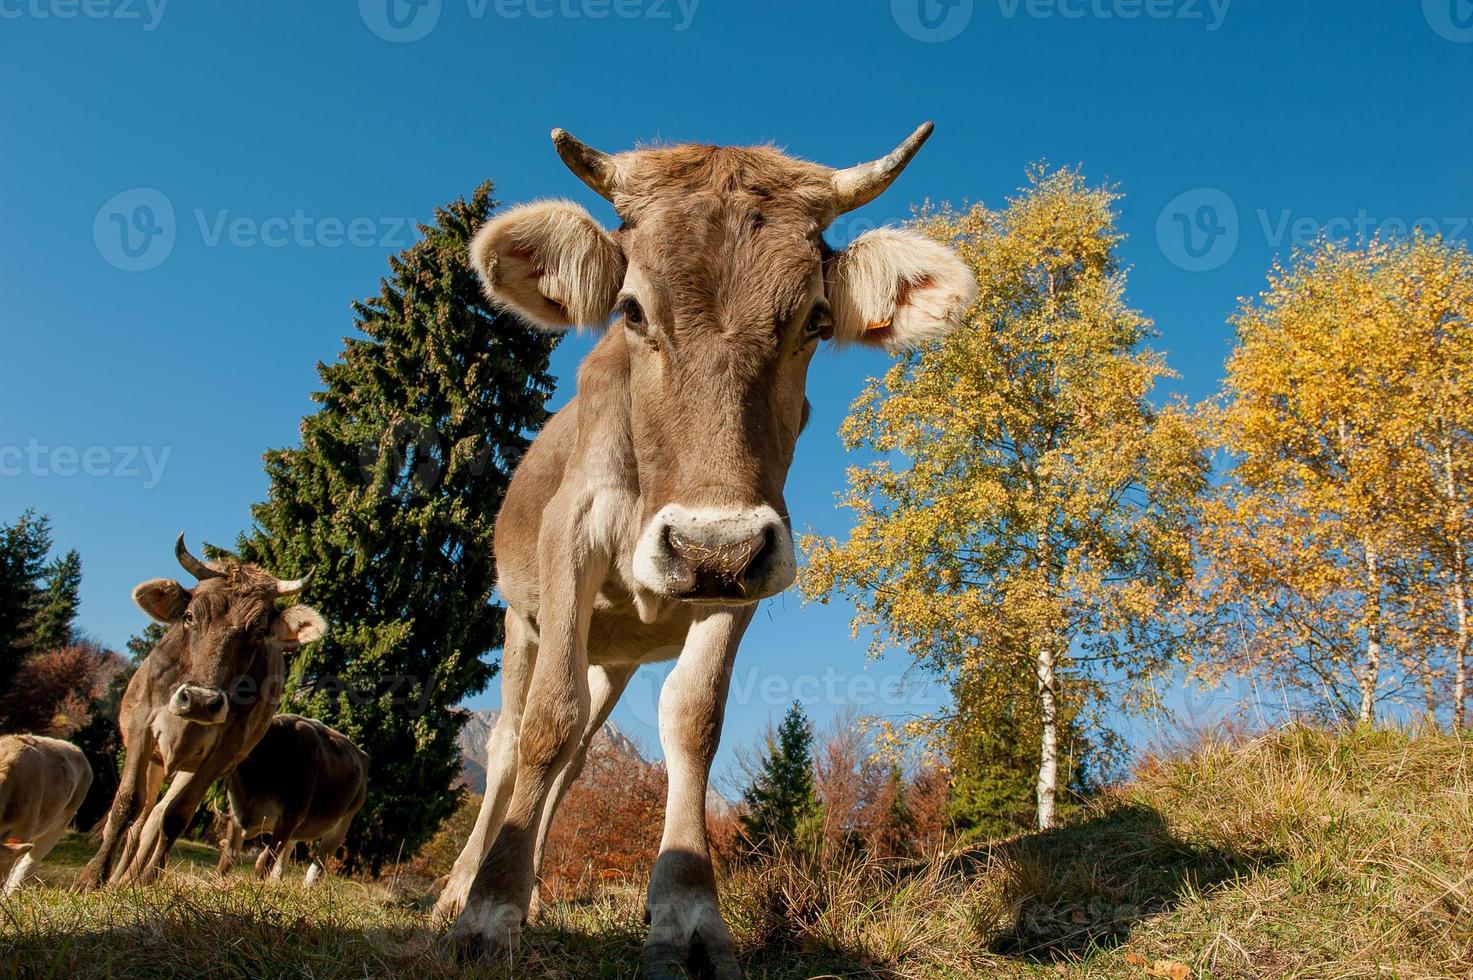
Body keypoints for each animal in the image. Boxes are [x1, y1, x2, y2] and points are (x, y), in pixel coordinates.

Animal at [76, 539, 325, 890]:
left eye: (259, 631)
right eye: (190, 616)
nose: (199, 701)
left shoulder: (223, 752)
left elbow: (177, 815)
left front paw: (149, 878)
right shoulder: (142, 725)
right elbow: (126, 803)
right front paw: (92, 877)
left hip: (188, 765)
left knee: (156, 816)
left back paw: (131, 878)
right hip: (157, 760)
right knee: (142, 814)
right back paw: (118, 877)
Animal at [216, 707, 368, 884]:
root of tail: (360, 753)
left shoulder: (289, 817)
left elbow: (265, 861)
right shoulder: (236, 813)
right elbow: (227, 860)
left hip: (342, 823)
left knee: (316, 868)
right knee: (283, 861)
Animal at [430, 122, 972, 972]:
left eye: (815, 319)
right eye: (630, 309)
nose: (707, 546)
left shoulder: (750, 564)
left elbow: (693, 720)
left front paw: (685, 915)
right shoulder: (569, 538)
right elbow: (546, 722)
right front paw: (486, 915)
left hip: (613, 654)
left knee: (576, 757)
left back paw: (538, 892)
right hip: (524, 620)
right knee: (515, 744)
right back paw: (463, 887)